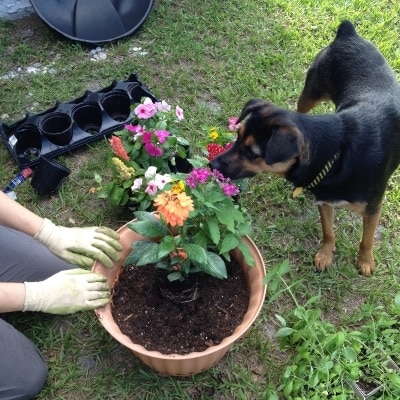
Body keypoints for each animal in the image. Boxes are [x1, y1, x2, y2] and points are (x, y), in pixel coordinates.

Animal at [209, 18, 400, 276]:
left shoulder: (372, 208)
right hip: (309, 94)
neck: (337, 153)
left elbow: (367, 239)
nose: (212, 164)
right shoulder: (324, 200)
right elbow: (328, 231)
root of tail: (348, 33)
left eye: (252, 153)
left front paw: (365, 261)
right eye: (237, 136)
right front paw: (326, 254)